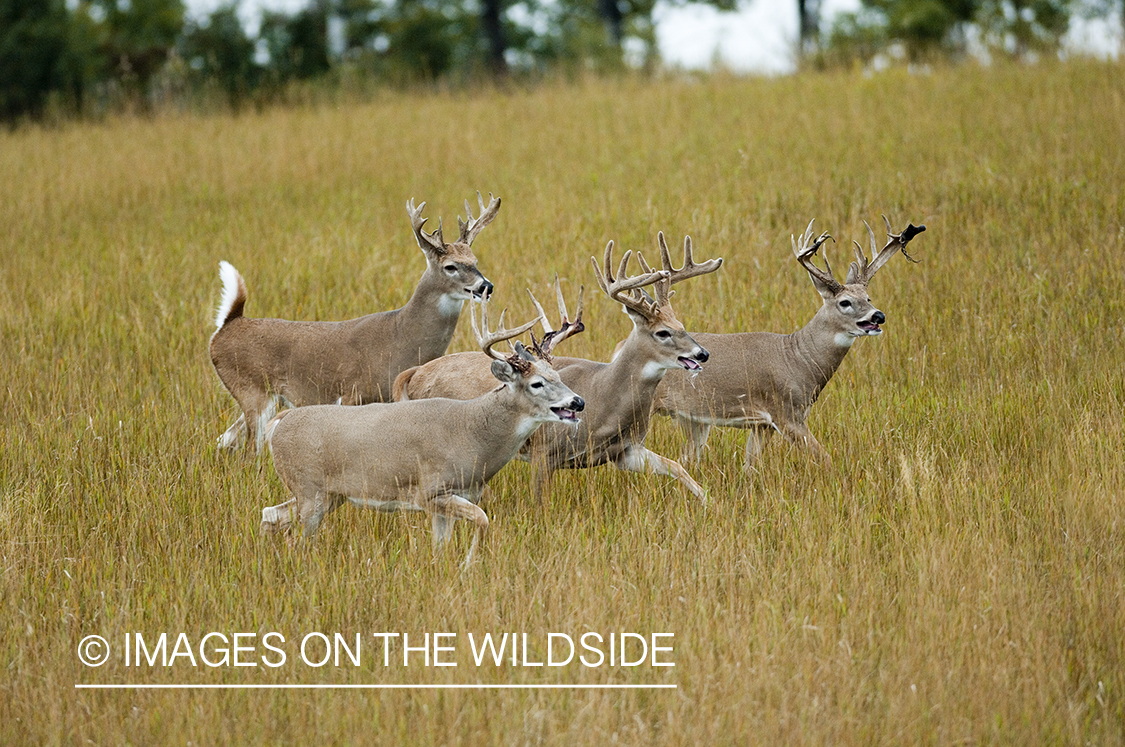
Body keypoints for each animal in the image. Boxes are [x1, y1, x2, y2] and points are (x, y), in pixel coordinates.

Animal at [209, 192, 499, 452]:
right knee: (249, 448)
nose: (486, 286)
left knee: (225, 440)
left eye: (474, 261)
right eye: (450, 266)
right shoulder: (351, 394)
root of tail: (226, 326)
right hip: (252, 391)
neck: (400, 336)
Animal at [258, 292, 585, 567]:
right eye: (537, 384)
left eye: (558, 375)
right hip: (309, 489)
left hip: (329, 495)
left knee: (270, 515)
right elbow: (483, 520)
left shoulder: (456, 497)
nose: (578, 402)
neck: (473, 432)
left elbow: (442, 545)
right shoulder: (429, 491)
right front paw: (468, 565)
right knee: (294, 534)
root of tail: (279, 424)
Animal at [396, 234, 720, 501]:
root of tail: (415, 373)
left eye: (682, 324)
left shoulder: (626, 452)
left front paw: (709, 502)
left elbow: (677, 467)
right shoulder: (544, 451)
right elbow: (539, 503)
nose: (702, 353)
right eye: (662, 333)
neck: (605, 398)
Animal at [652, 216, 922, 472]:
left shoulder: (763, 424)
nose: (878, 316)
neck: (798, 359)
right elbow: (825, 460)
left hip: (694, 420)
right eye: (845, 302)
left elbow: (750, 467)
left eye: (868, 297)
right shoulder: (785, 413)